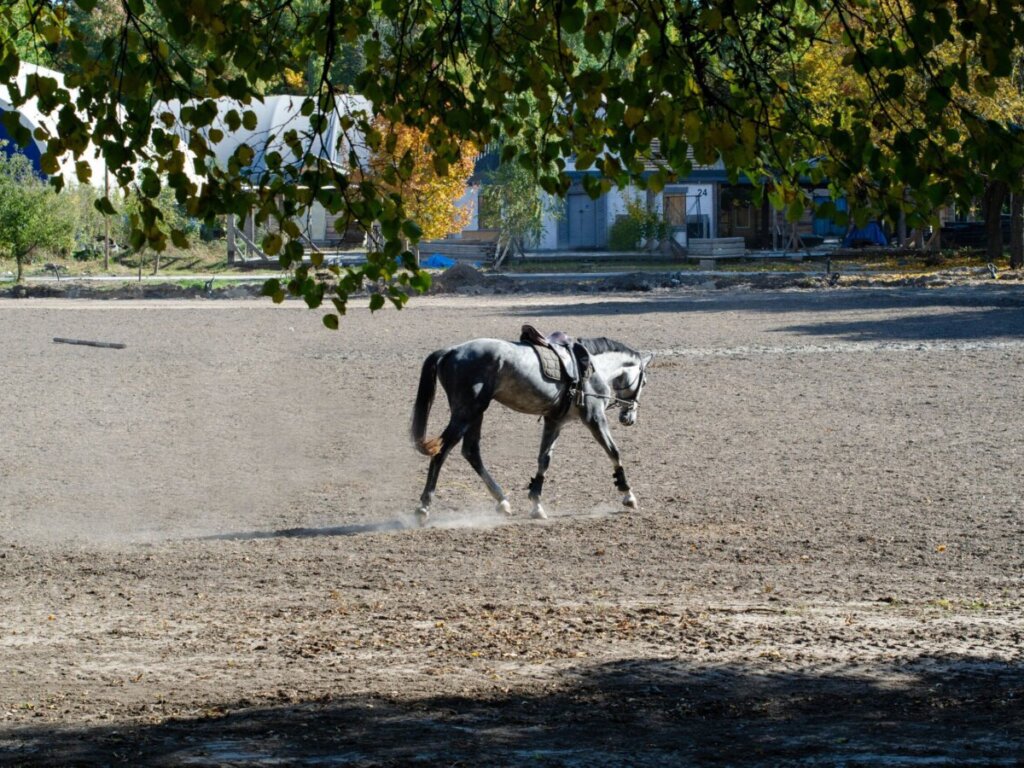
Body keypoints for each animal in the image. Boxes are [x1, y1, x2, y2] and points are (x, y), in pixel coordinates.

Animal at [410, 334, 653, 522]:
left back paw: (502, 501)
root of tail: (450, 351)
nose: (628, 417)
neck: (594, 368)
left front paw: (536, 504)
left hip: (475, 413)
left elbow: (544, 459)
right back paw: (423, 507)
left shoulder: (554, 421)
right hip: (466, 412)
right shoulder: (594, 418)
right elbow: (614, 451)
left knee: (471, 451)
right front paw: (628, 494)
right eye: (644, 382)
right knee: (442, 452)